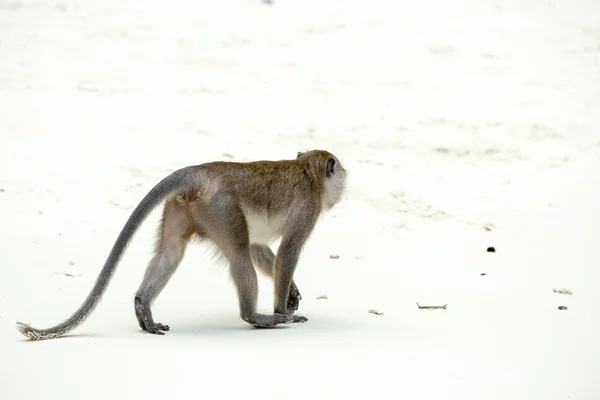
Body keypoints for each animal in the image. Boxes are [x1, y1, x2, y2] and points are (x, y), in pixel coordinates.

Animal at [16, 149, 346, 340]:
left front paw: (293, 292)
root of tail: (200, 171)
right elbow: (287, 251)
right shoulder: (308, 209)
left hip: (183, 207)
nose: (344, 177)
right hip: (221, 208)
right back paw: (256, 317)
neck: (308, 171)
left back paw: (143, 307)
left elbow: (260, 247)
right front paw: (283, 308)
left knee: (172, 252)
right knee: (239, 257)